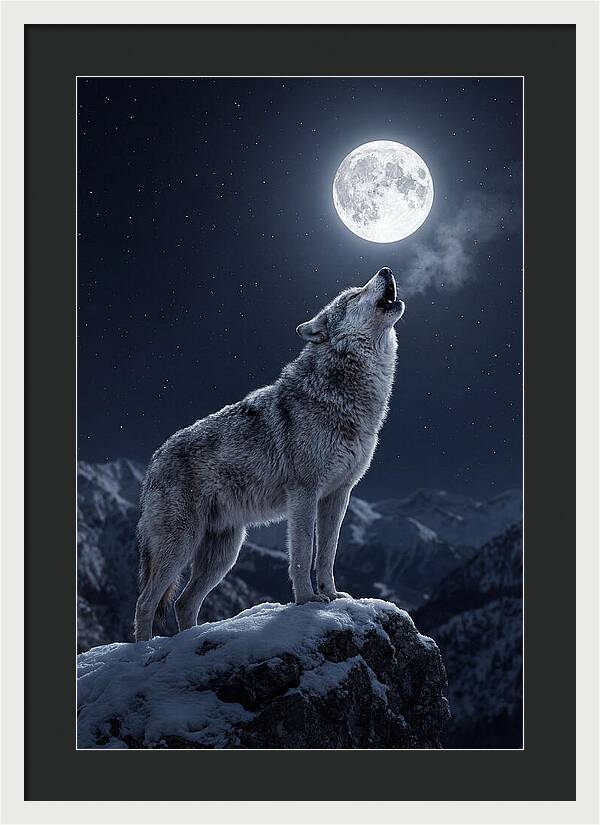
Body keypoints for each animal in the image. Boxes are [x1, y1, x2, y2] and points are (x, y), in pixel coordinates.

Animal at [134, 266, 405, 641]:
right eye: (353, 295)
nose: (386, 270)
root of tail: (154, 460)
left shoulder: (338, 495)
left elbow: (328, 553)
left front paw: (333, 595)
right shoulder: (304, 493)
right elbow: (303, 553)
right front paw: (307, 600)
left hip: (225, 553)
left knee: (183, 603)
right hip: (180, 546)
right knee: (145, 602)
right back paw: (142, 650)